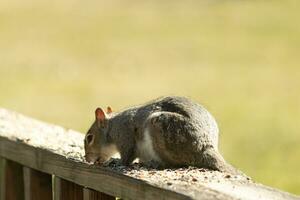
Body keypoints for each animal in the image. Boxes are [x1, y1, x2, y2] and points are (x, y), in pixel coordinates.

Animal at [84, 96, 239, 174]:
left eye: (89, 138)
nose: (87, 159)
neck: (112, 127)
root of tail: (205, 147)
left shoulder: (125, 136)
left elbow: (127, 157)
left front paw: (116, 162)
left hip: (161, 129)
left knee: (173, 163)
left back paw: (153, 163)